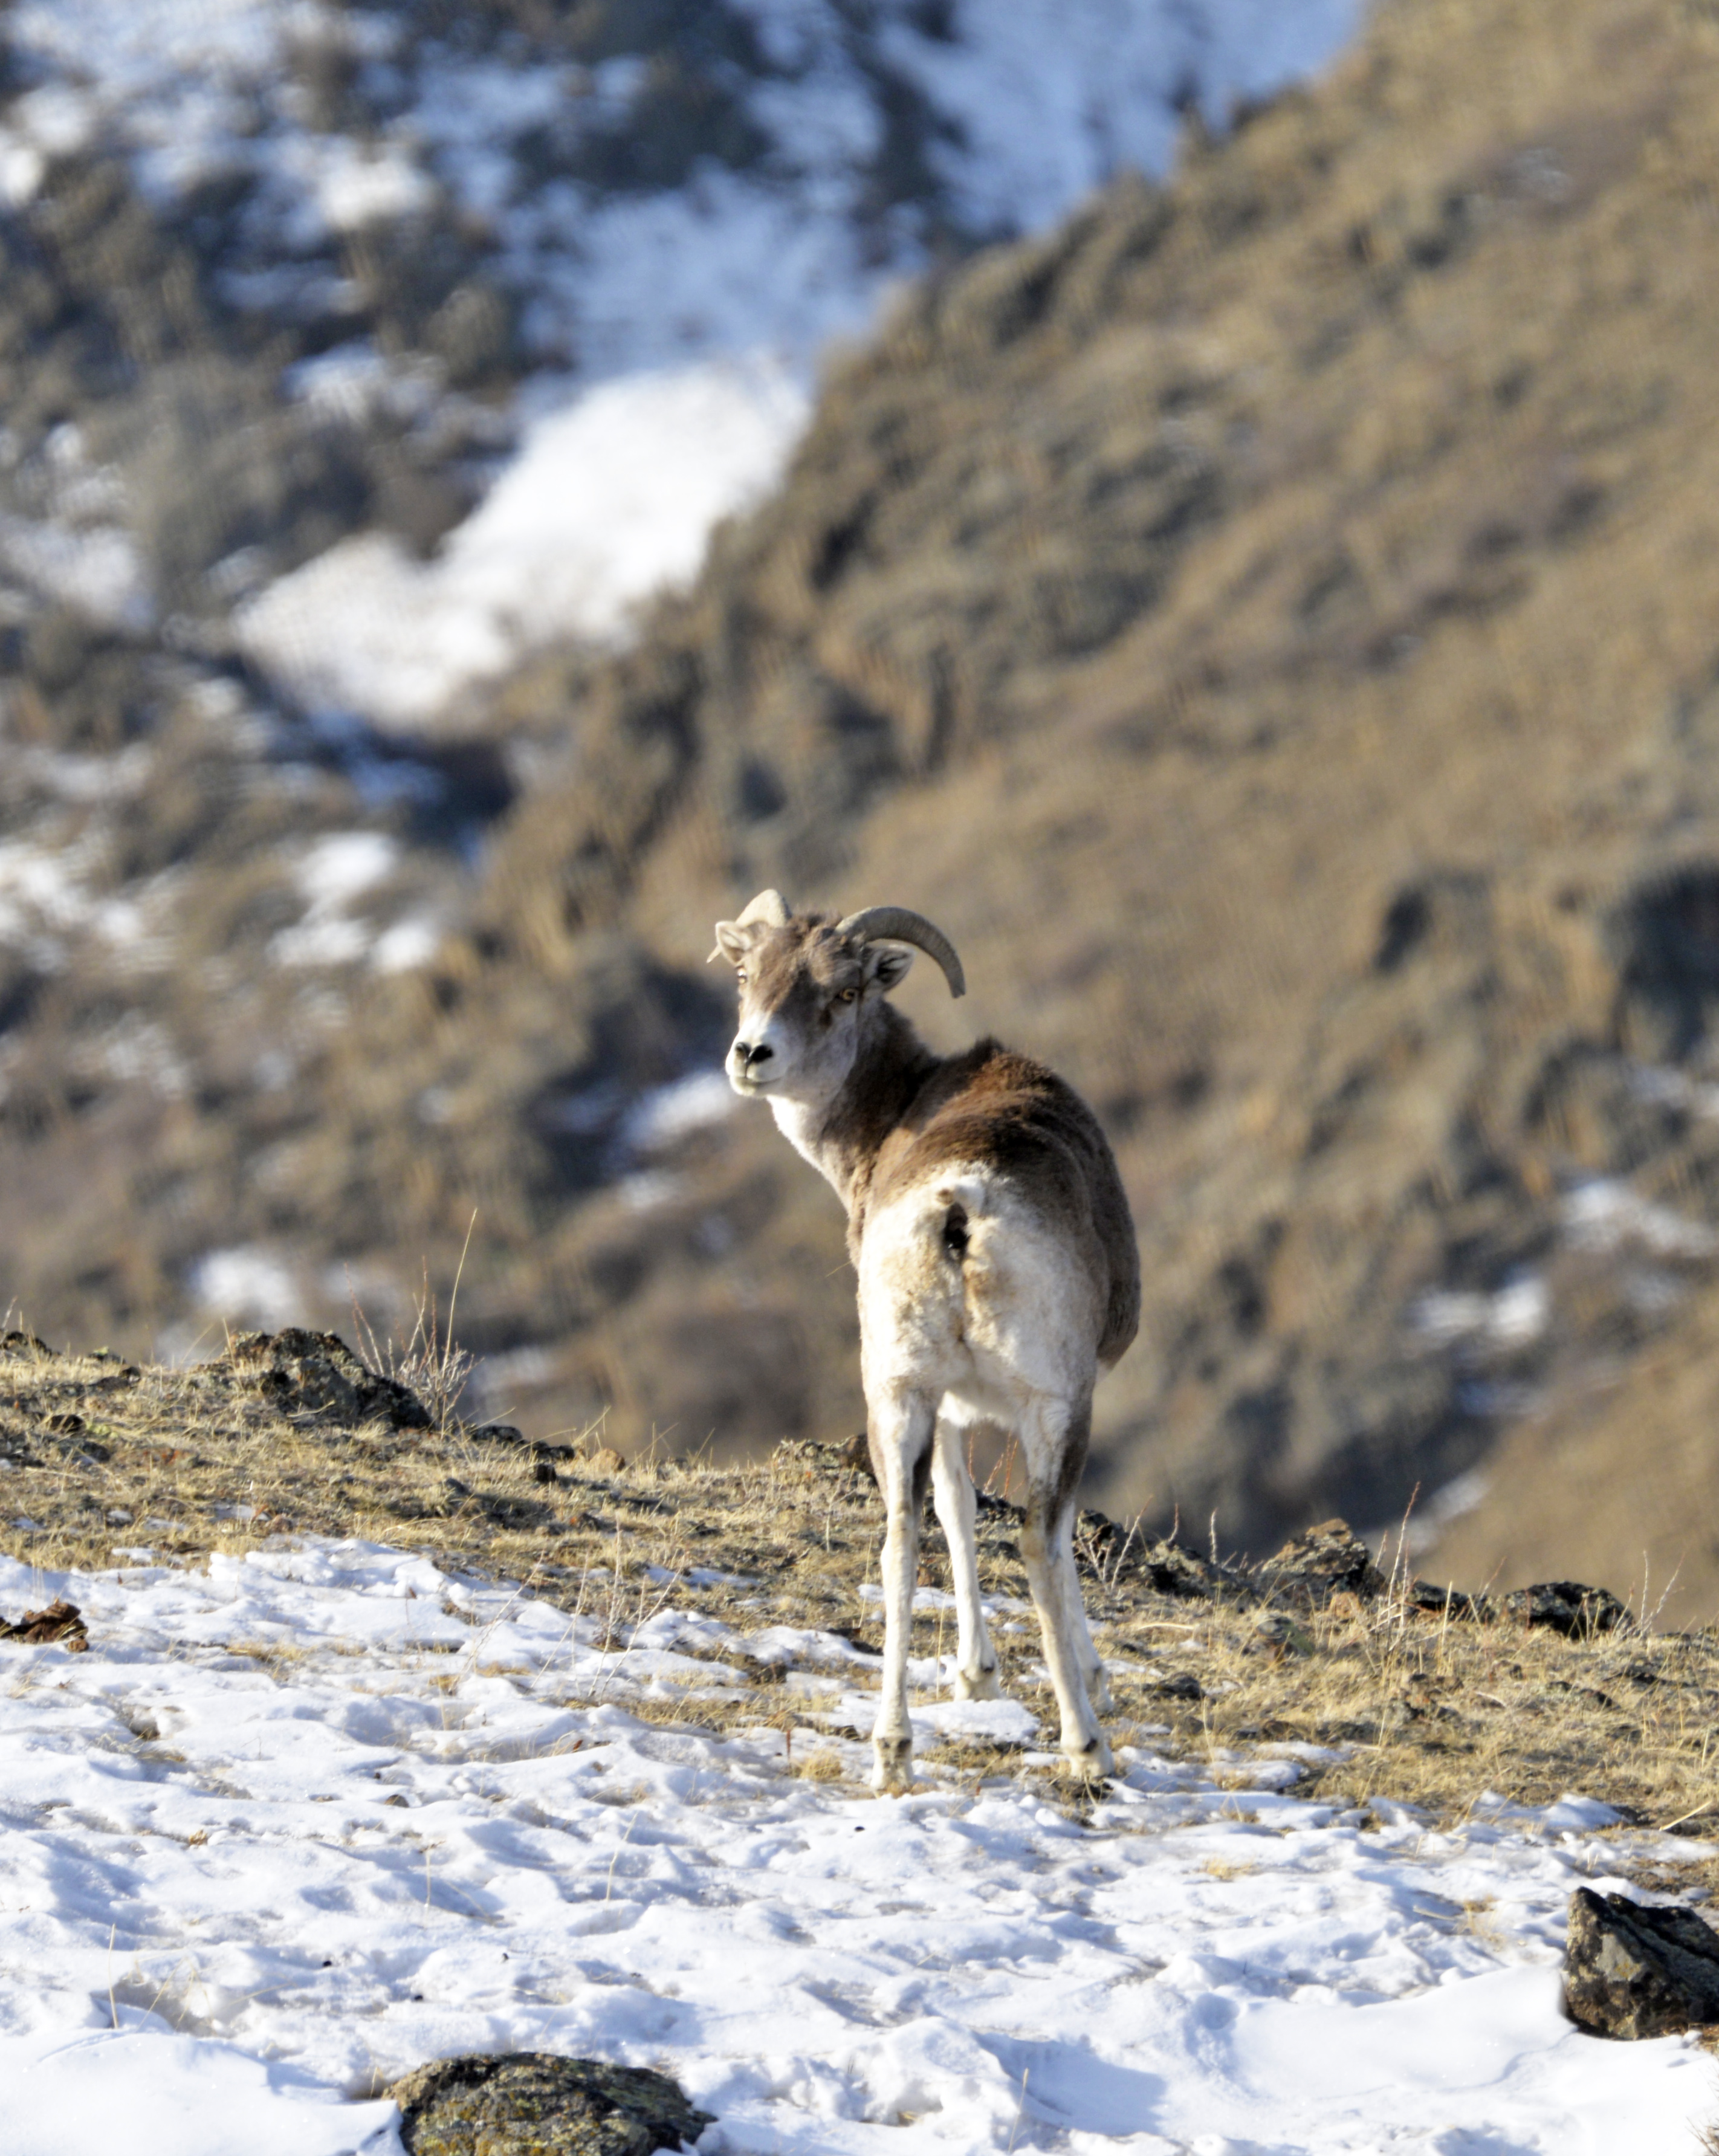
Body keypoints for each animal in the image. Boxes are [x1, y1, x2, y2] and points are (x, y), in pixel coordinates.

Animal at [710, 890, 1140, 1791]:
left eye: (841, 992)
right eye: (745, 976)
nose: (753, 1053)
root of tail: (961, 1205)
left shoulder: (941, 1402)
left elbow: (952, 1509)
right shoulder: (1039, 1403)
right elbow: (1020, 1525)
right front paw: (1049, 1679)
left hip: (897, 1391)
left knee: (899, 1542)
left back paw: (892, 1748)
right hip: (1048, 1406)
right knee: (1040, 1540)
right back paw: (1085, 1746)